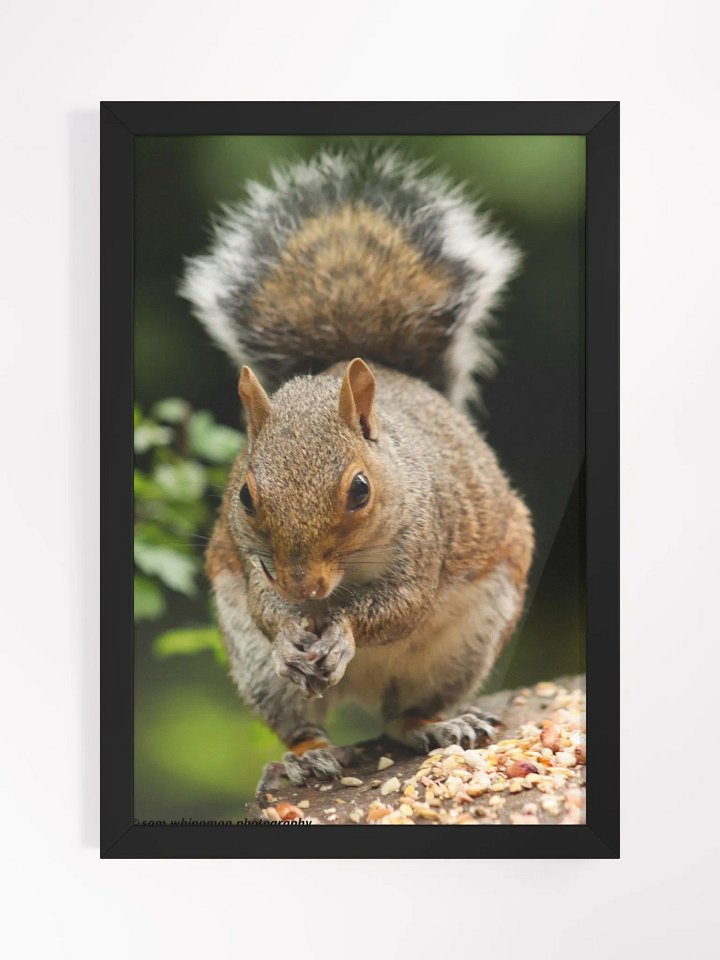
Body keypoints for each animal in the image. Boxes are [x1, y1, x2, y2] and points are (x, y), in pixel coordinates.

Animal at [180, 147, 534, 796]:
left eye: (360, 490)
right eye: (244, 495)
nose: (303, 588)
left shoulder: (425, 541)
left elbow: (398, 608)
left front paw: (342, 633)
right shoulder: (250, 565)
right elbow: (266, 608)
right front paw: (292, 634)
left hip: (467, 641)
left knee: (403, 716)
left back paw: (437, 725)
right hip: (255, 665)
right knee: (302, 721)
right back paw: (305, 757)